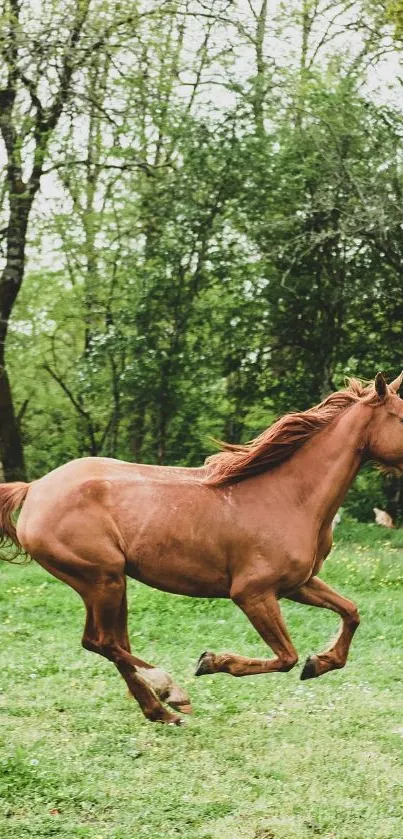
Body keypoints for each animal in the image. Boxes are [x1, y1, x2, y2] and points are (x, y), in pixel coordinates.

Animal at [0, 370, 402, 724]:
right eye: (400, 416)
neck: (289, 498)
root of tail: (34, 489)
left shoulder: (297, 585)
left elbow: (351, 612)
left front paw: (319, 663)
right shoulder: (252, 593)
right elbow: (286, 656)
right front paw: (210, 662)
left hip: (109, 584)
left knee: (108, 642)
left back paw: (161, 710)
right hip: (101, 580)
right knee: (103, 642)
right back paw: (170, 691)